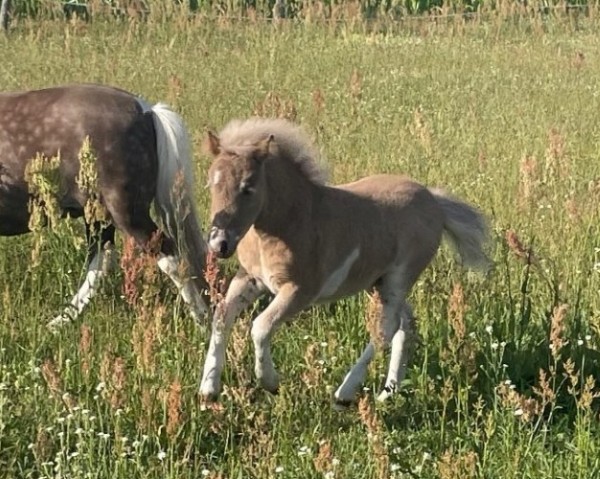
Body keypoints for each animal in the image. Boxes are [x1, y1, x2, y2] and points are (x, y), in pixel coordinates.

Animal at [0, 84, 210, 328]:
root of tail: (146, 111)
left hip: (128, 214)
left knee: (169, 256)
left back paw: (203, 321)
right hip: (99, 214)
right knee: (101, 260)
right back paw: (59, 322)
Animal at [199, 118, 490, 406]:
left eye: (248, 188)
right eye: (211, 183)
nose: (219, 244)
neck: (292, 219)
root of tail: (435, 202)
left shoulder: (300, 291)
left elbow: (260, 327)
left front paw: (269, 382)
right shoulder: (250, 278)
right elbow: (221, 317)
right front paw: (208, 390)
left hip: (399, 277)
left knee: (385, 329)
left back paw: (345, 394)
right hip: (376, 281)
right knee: (405, 324)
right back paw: (388, 392)